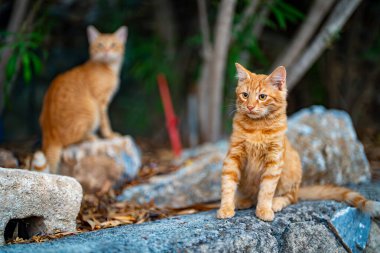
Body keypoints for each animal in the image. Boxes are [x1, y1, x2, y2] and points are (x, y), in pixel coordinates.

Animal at [40, 26, 127, 174]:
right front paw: (109, 135)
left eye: (113, 45)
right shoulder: (100, 101)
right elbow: (105, 121)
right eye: (100, 45)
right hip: (91, 110)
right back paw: (90, 136)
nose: (106, 51)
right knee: (70, 141)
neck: (109, 68)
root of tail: (51, 135)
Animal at [217, 63, 380, 221]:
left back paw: (275, 202)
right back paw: (242, 201)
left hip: (292, 168)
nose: (250, 106)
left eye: (262, 97)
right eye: (245, 95)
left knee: (291, 197)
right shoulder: (233, 156)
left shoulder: (274, 160)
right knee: (252, 196)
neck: (257, 127)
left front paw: (263, 209)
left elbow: (266, 189)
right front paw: (226, 207)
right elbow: (228, 184)